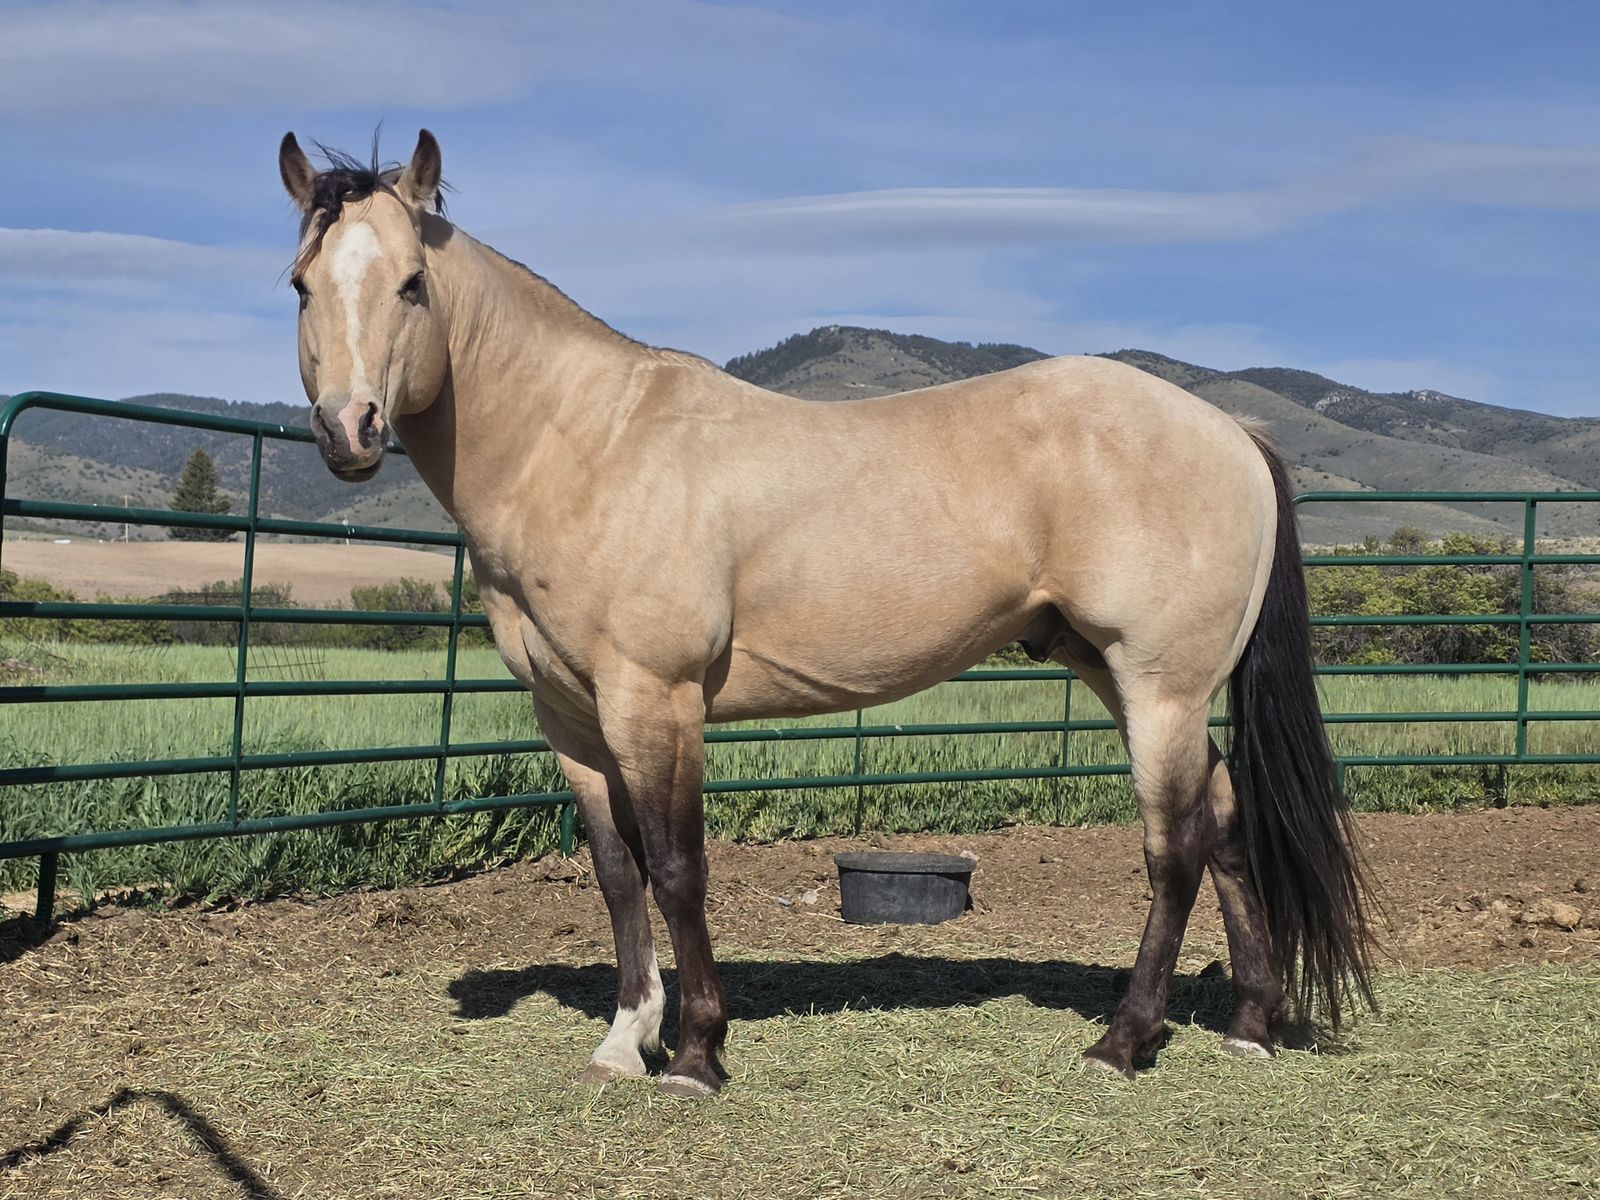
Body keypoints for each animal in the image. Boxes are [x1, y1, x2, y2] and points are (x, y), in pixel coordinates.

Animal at [278, 129, 1373, 1098]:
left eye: (412, 283)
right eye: (300, 284)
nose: (349, 432)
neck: (588, 445)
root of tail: (1229, 429)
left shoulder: (656, 700)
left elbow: (677, 868)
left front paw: (694, 1055)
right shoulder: (572, 719)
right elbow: (618, 874)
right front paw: (624, 1042)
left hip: (1159, 689)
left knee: (1175, 849)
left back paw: (1123, 1042)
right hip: (1126, 680)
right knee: (1224, 825)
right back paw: (1248, 1026)